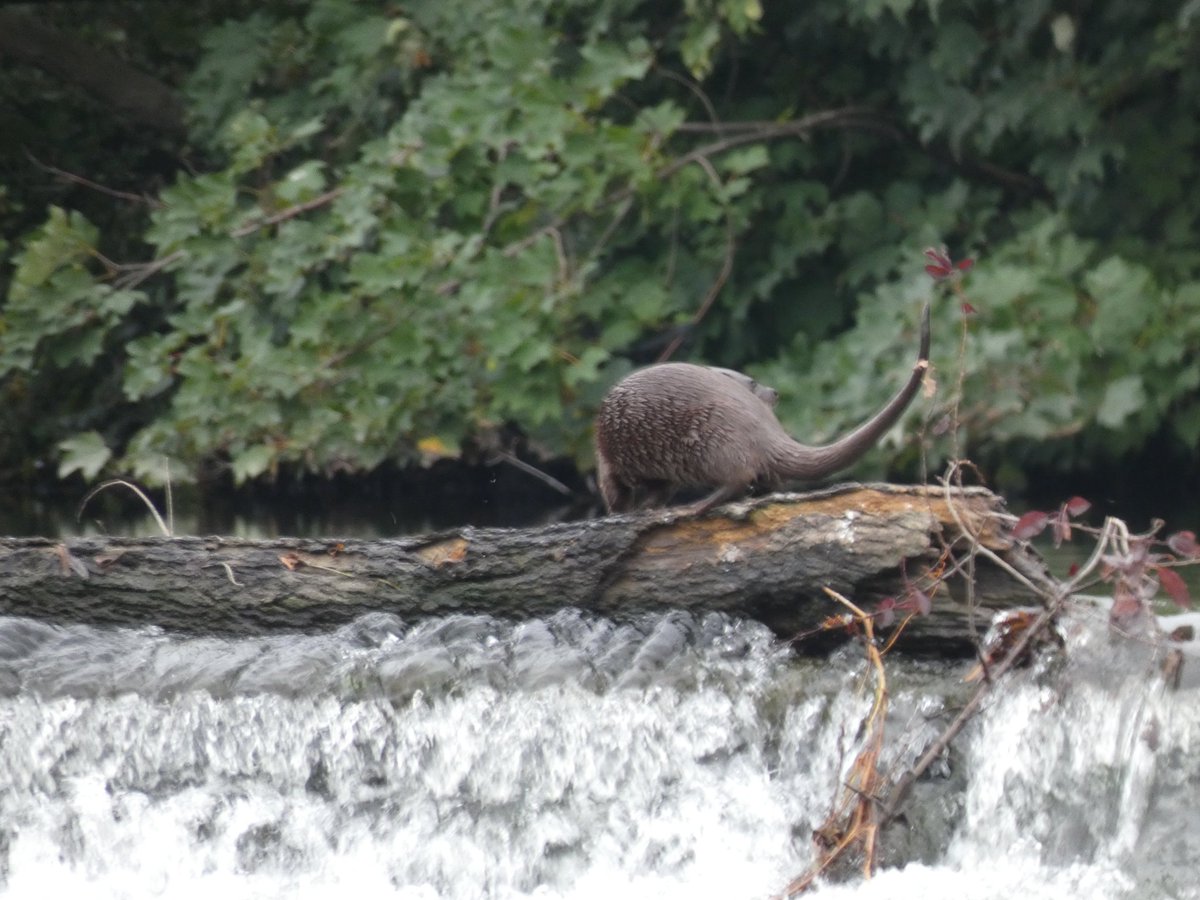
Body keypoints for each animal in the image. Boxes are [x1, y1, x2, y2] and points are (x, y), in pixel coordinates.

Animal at [595, 303, 930, 515]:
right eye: (754, 381)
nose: (775, 391)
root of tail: (762, 428)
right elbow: (656, 491)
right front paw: (645, 508)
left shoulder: (609, 461)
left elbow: (616, 491)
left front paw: (624, 511)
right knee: (767, 480)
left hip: (708, 440)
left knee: (738, 476)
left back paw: (698, 507)